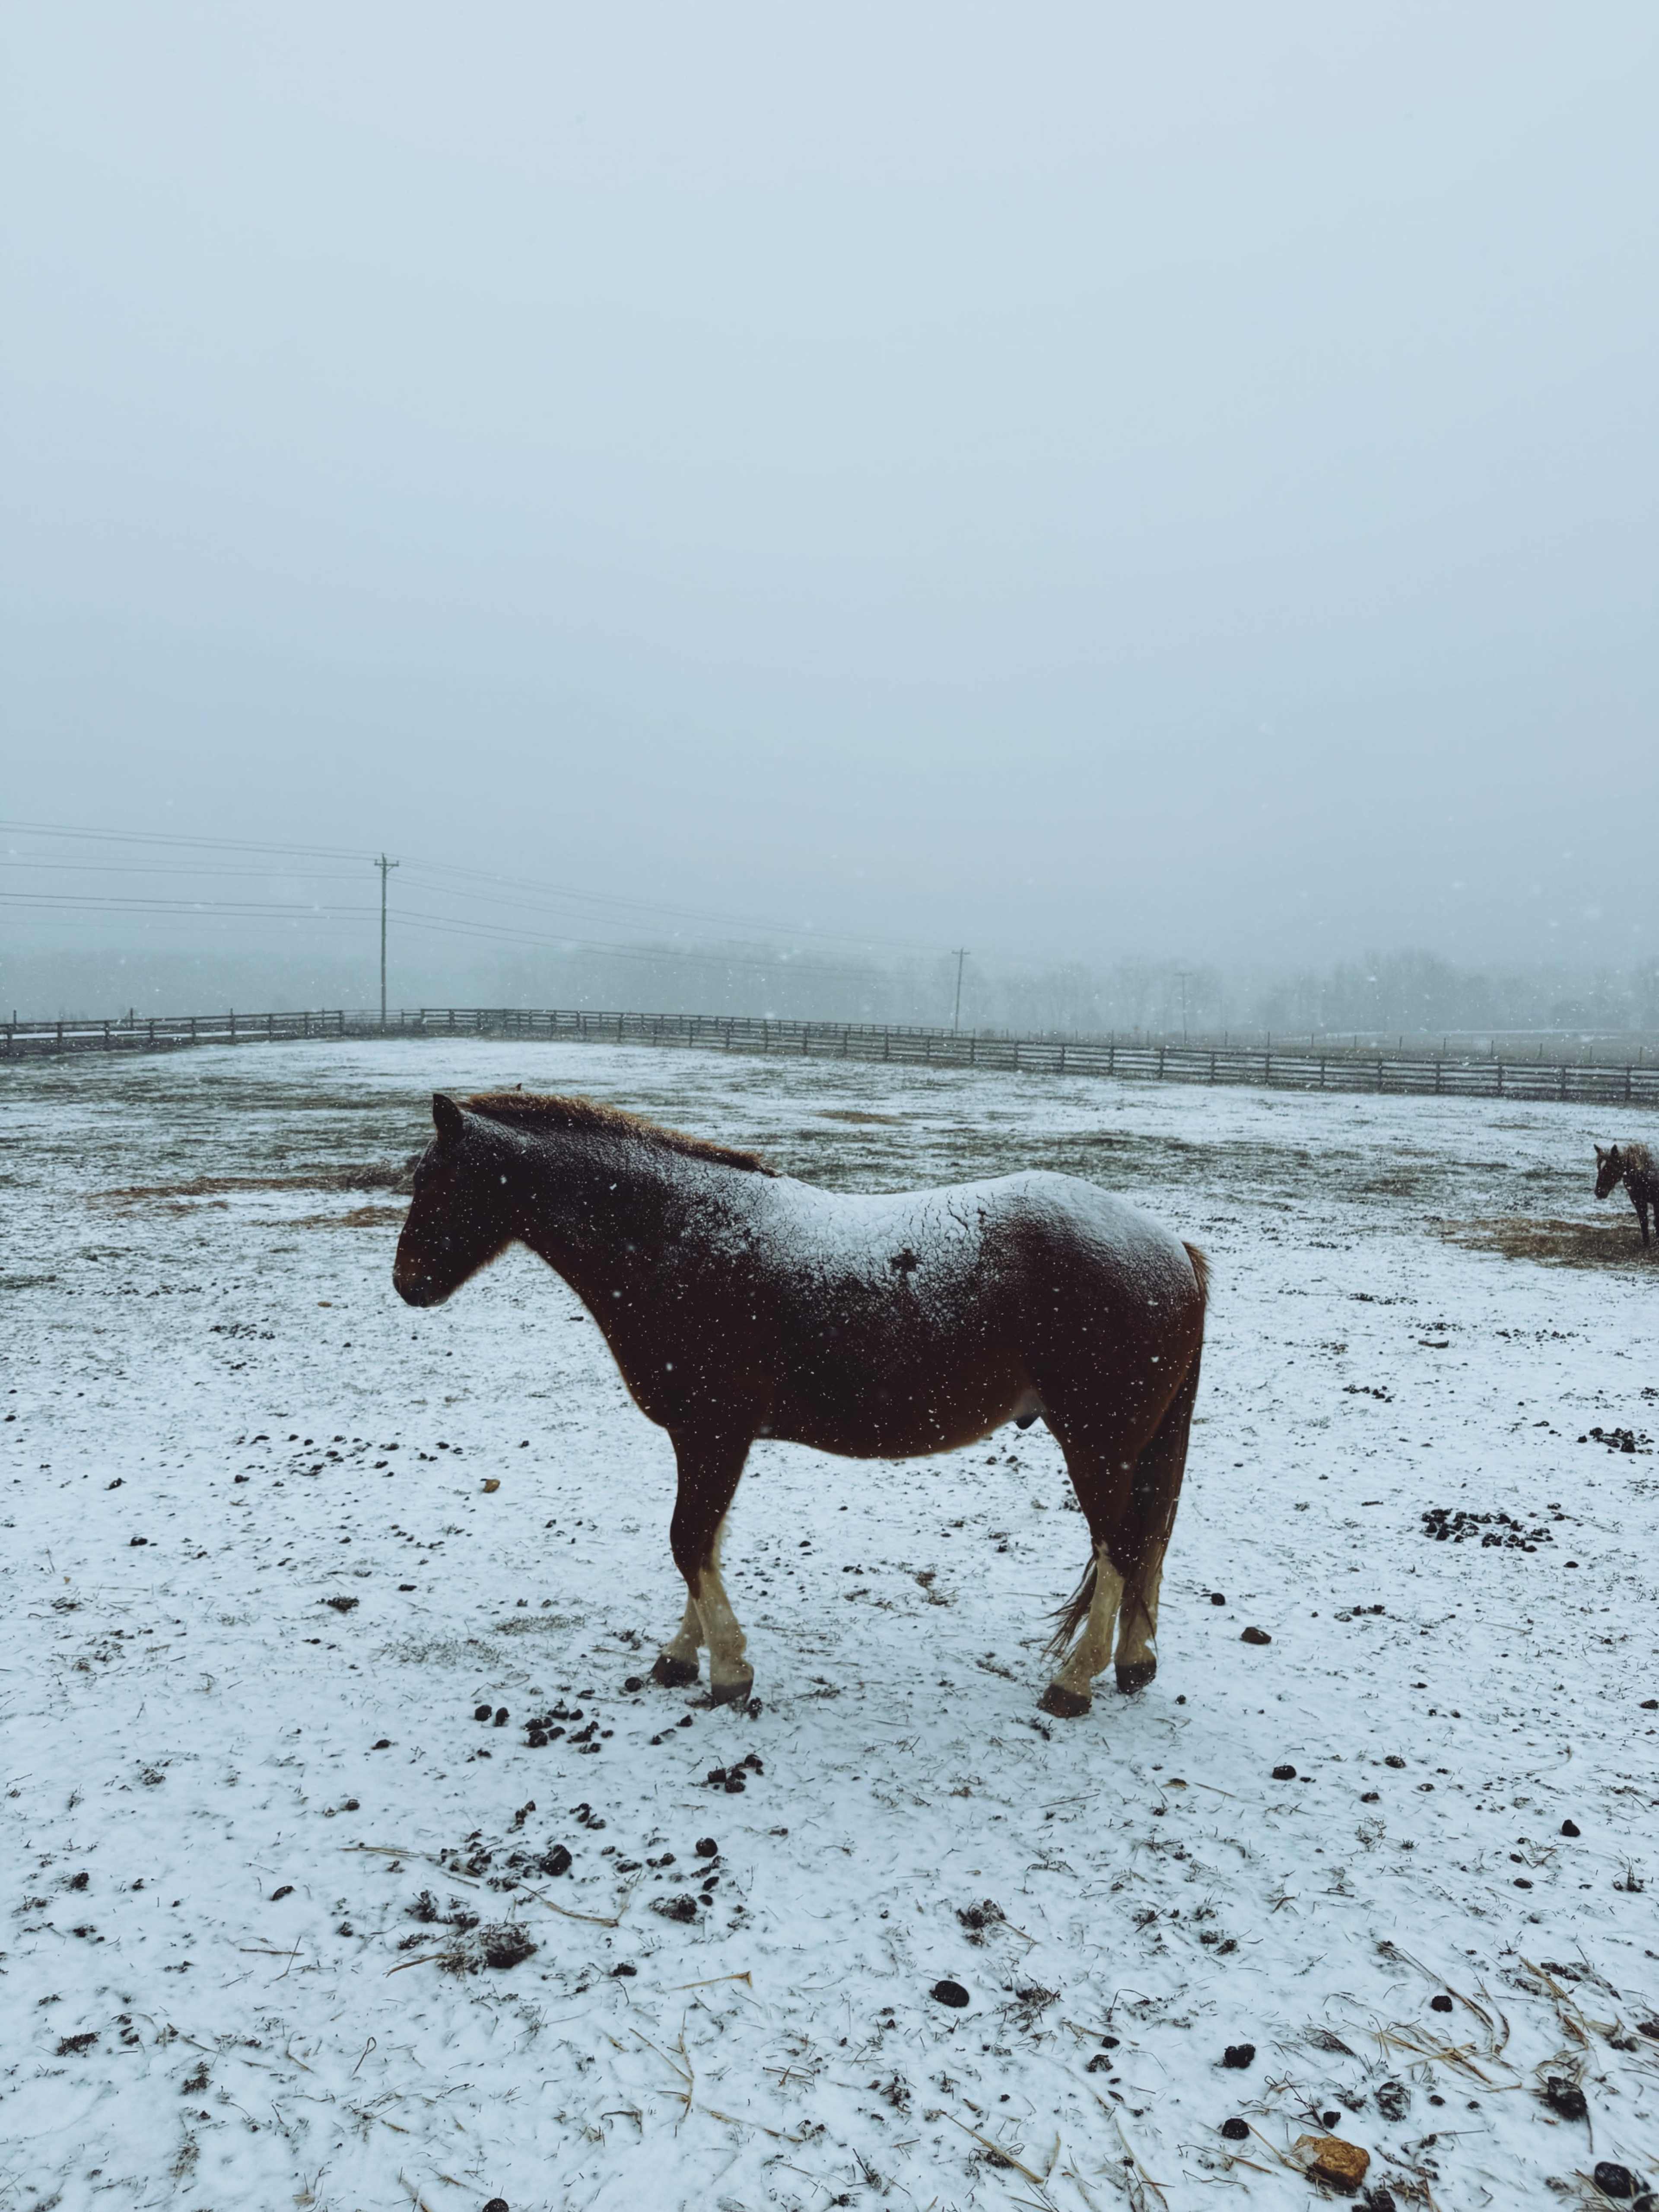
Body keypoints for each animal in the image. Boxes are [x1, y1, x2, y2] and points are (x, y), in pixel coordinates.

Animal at [393, 1090, 1209, 1719]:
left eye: (438, 1180)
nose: (407, 1284)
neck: (676, 1235)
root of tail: (1172, 1247)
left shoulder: (711, 1431)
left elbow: (688, 1541)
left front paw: (727, 1671)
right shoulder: (713, 1440)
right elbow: (706, 1544)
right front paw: (680, 1655)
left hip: (1097, 1444)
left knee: (1120, 1548)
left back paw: (1074, 1683)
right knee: (1146, 1549)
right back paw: (1132, 1664)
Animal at [1595, 1141, 1657, 1246]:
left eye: (1610, 1167)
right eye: (1599, 1167)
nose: (1599, 1192)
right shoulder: (1638, 1201)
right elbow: (1644, 1221)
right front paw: (1646, 1243)